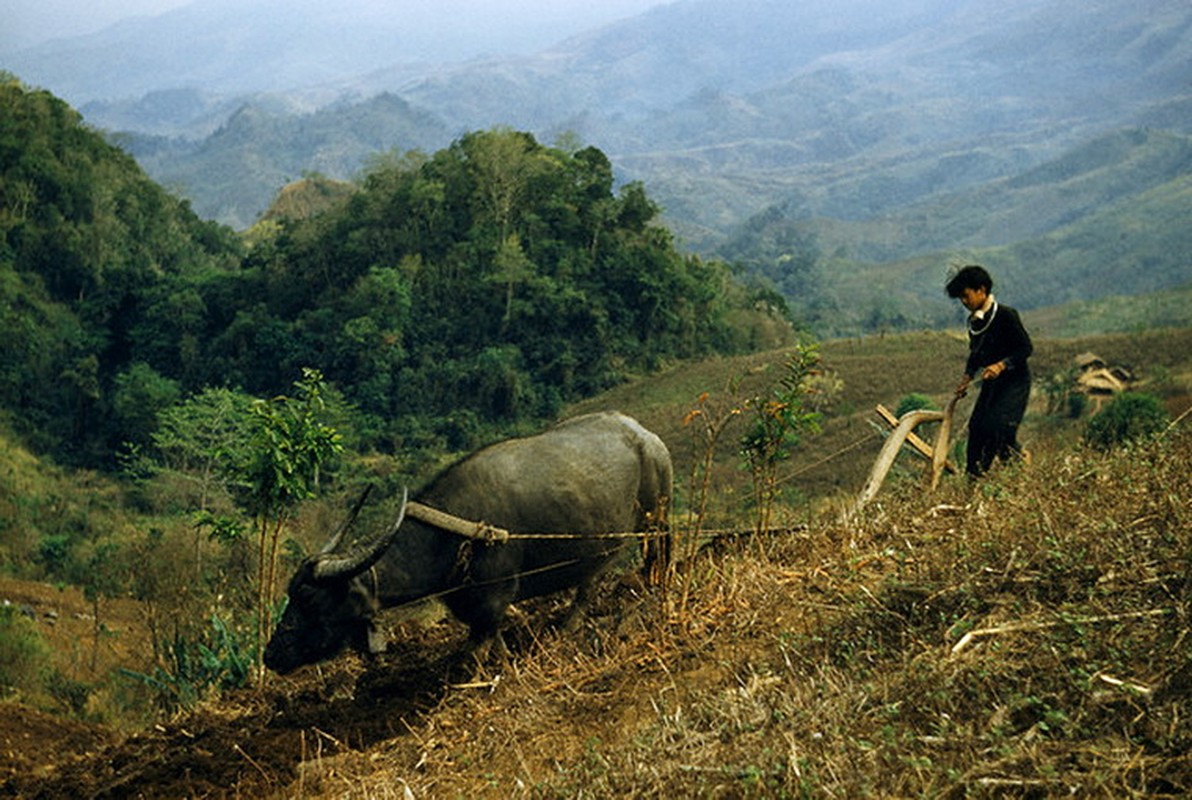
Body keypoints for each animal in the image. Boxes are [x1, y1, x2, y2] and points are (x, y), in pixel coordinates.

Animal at [264, 412, 672, 677]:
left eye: (310, 599)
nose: (271, 654)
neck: (448, 539)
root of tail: (645, 435)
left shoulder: (492, 601)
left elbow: (471, 656)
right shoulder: (479, 609)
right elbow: (496, 644)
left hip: (657, 519)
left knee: (655, 555)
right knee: (591, 579)